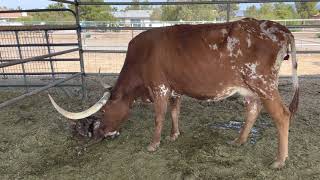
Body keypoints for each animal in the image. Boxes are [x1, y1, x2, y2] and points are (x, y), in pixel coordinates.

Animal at [48, 17, 298, 168]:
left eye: (105, 110)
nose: (99, 133)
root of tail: (280, 28)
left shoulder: (159, 86)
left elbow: (159, 116)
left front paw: (153, 144)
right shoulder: (174, 88)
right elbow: (175, 111)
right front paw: (174, 134)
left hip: (263, 83)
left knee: (283, 115)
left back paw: (279, 160)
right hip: (249, 88)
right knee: (253, 110)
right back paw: (239, 141)